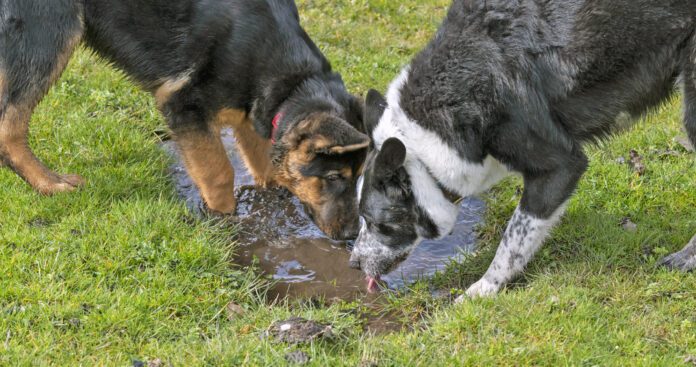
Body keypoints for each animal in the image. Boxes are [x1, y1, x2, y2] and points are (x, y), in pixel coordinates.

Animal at [0, 0, 370, 240]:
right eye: (334, 177)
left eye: (359, 177)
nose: (351, 236)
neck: (294, 81)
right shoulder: (184, 105)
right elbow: (219, 173)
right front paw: (224, 222)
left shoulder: (252, 116)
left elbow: (266, 168)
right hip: (49, 32)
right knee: (10, 127)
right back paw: (49, 184)